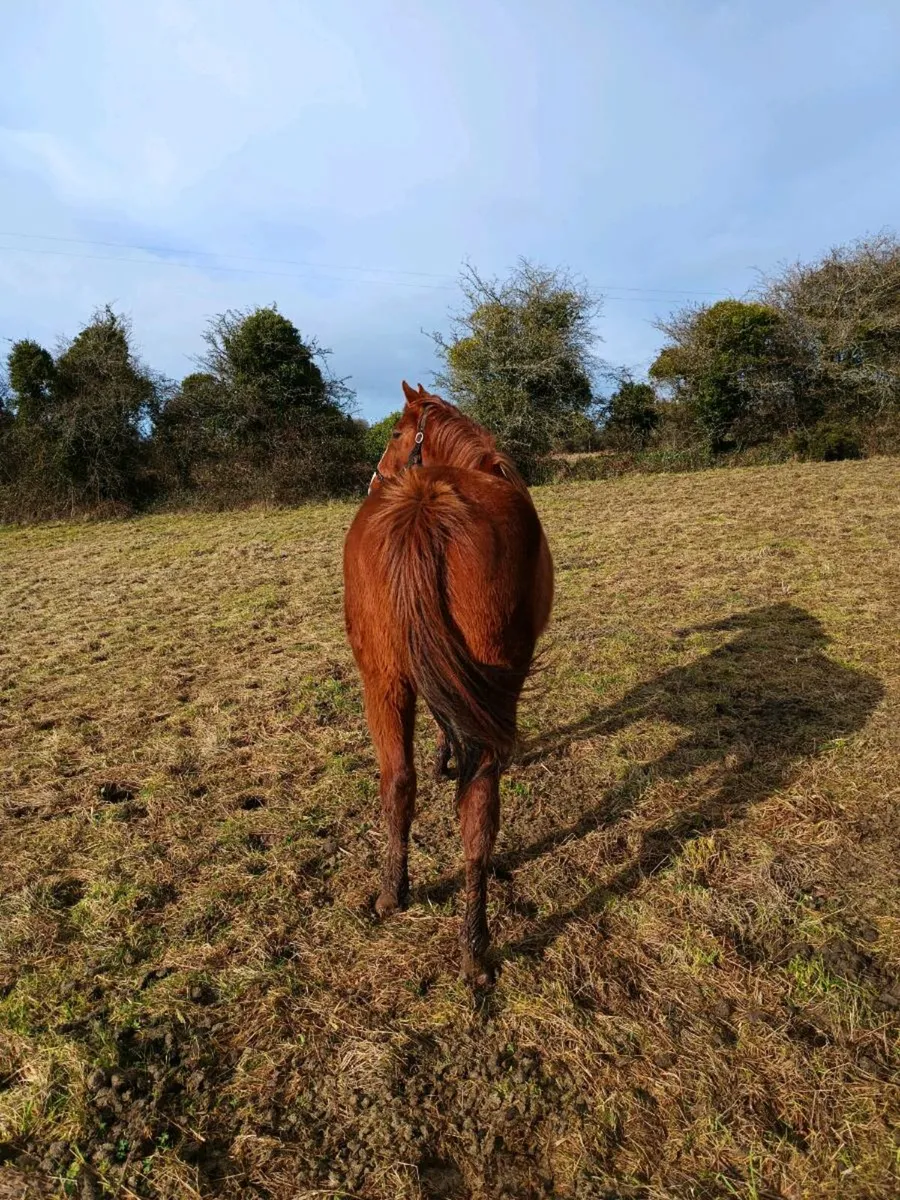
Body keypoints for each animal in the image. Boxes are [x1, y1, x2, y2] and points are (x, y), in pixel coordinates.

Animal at [343, 381, 553, 986]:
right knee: (478, 810)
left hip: (383, 680)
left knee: (398, 782)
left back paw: (394, 894)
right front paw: (447, 758)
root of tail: (425, 502)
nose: (373, 479)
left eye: (395, 433)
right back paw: (474, 946)